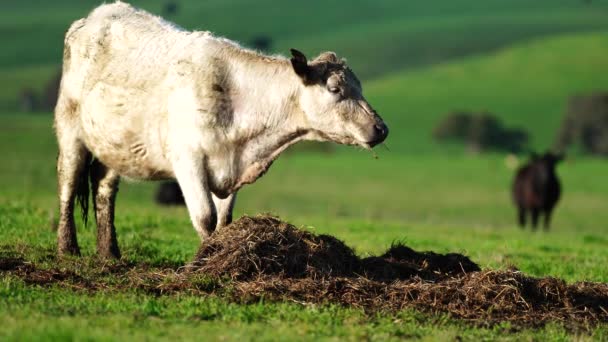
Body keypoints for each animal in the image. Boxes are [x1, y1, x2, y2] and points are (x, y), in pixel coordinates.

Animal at [55, 1, 390, 258]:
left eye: (359, 87)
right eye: (335, 89)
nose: (381, 128)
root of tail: (101, 12)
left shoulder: (230, 165)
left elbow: (224, 220)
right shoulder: (187, 160)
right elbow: (206, 217)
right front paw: (204, 261)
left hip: (114, 145)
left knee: (104, 190)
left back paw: (109, 253)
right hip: (70, 131)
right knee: (68, 184)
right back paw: (67, 249)